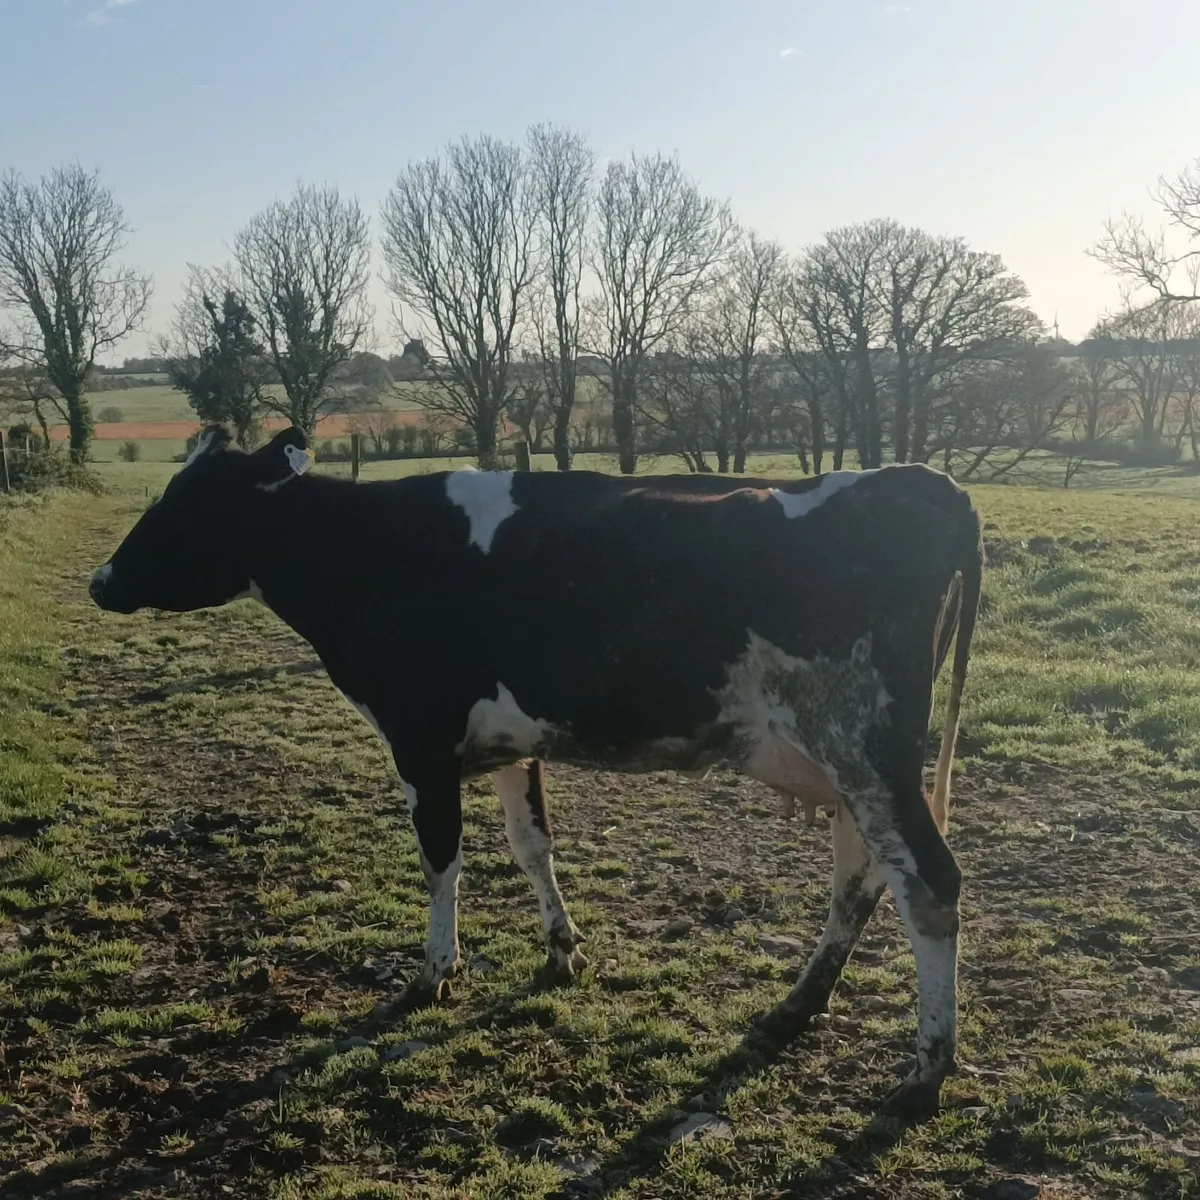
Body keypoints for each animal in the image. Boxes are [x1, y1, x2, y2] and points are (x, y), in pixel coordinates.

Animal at [89, 425, 982, 1118]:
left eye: (186, 505)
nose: (100, 581)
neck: (372, 552)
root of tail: (919, 482)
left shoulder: (419, 741)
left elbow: (441, 860)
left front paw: (434, 973)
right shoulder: (510, 743)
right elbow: (531, 846)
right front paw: (561, 950)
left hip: (864, 747)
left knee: (928, 882)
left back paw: (924, 1072)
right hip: (849, 764)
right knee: (861, 880)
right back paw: (795, 1008)